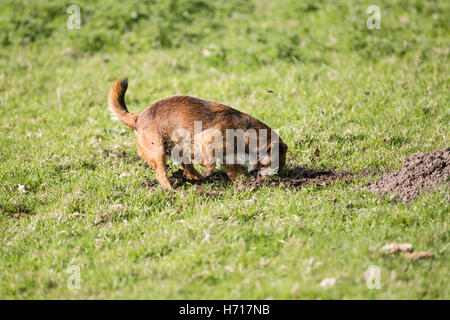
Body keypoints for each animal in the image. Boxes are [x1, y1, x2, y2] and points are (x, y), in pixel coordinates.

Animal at [107, 78, 286, 189]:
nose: (278, 175)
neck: (246, 130)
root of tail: (137, 118)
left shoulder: (228, 158)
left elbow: (234, 172)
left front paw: (243, 184)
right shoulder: (208, 139)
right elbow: (209, 162)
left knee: (185, 165)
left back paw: (197, 178)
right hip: (157, 151)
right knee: (161, 173)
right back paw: (172, 190)